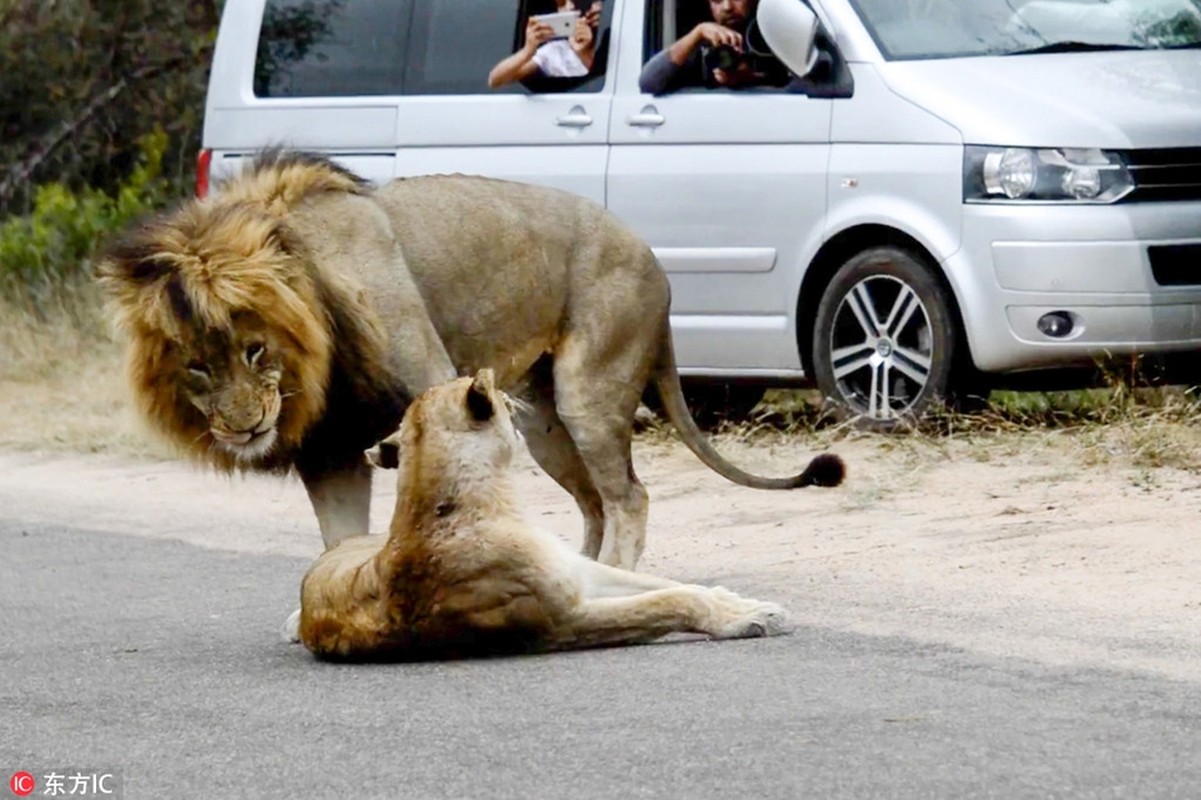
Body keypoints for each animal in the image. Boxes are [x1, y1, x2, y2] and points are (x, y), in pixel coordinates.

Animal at [98, 149, 840, 569]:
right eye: (196, 366)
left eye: (255, 349)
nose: (246, 427)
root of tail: (657, 263)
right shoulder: (330, 448)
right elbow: (340, 537)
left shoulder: (434, 384)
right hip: (544, 422)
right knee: (595, 502)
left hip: (589, 388)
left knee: (628, 495)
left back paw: (619, 577)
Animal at [300, 369, 787, 658]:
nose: (511, 395)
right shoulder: (561, 621)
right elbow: (666, 601)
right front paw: (748, 618)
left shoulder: (577, 570)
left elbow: (668, 584)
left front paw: (737, 600)